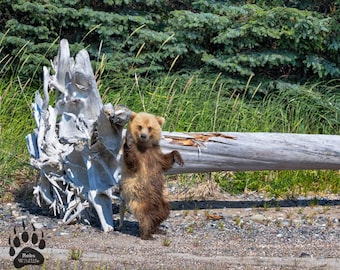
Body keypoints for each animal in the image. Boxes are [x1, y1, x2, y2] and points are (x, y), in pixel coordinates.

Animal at [119, 112, 183, 240]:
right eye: (140, 126)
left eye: (149, 127)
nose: (143, 136)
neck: (144, 147)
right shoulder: (138, 159)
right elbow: (131, 163)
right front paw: (128, 142)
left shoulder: (155, 154)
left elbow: (165, 162)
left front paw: (178, 157)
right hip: (142, 198)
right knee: (145, 216)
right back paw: (147, 234)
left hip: (159, 199)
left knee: (163, 212)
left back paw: (158, 229)